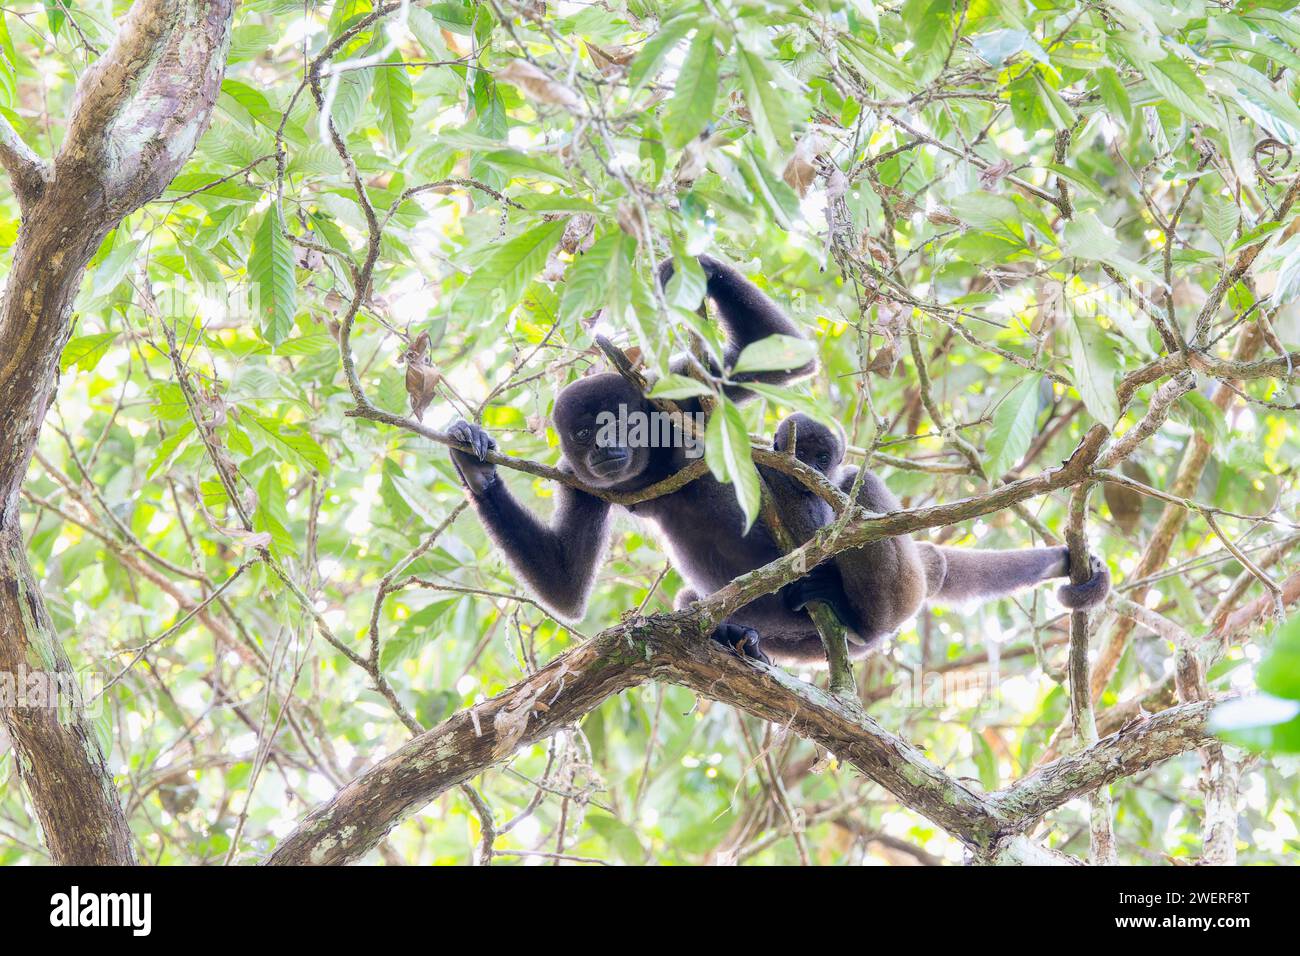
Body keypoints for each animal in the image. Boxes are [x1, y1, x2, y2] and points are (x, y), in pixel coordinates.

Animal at [447, 255, 1110, 667]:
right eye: (586, 432)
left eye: (623, 423)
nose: (607, 450)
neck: (655, 465)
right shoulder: (583, 482)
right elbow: (565, 583)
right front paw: (473, 463)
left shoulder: (678, 392)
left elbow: (779, 363)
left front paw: (680, 265)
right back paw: (732, 628)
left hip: (890, 601)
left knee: (851, 484)